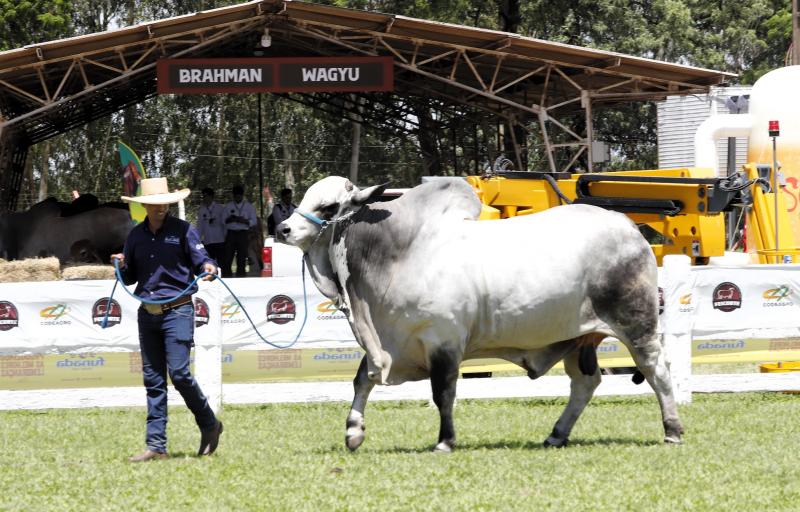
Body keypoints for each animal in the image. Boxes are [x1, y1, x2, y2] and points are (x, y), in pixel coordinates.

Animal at [276, 176, 680, 452]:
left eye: (329, 207)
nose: (282, 228)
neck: (399, 254)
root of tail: (628, 226)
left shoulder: (443, 340)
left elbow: (443, 392)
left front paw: (444, 441)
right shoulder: (391, 343)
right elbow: (362, 380)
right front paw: (353, 431)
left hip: (637, 324)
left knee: (657, 371)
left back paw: (672, 430)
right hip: (578, 338)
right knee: (585, 383)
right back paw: (556, 434)